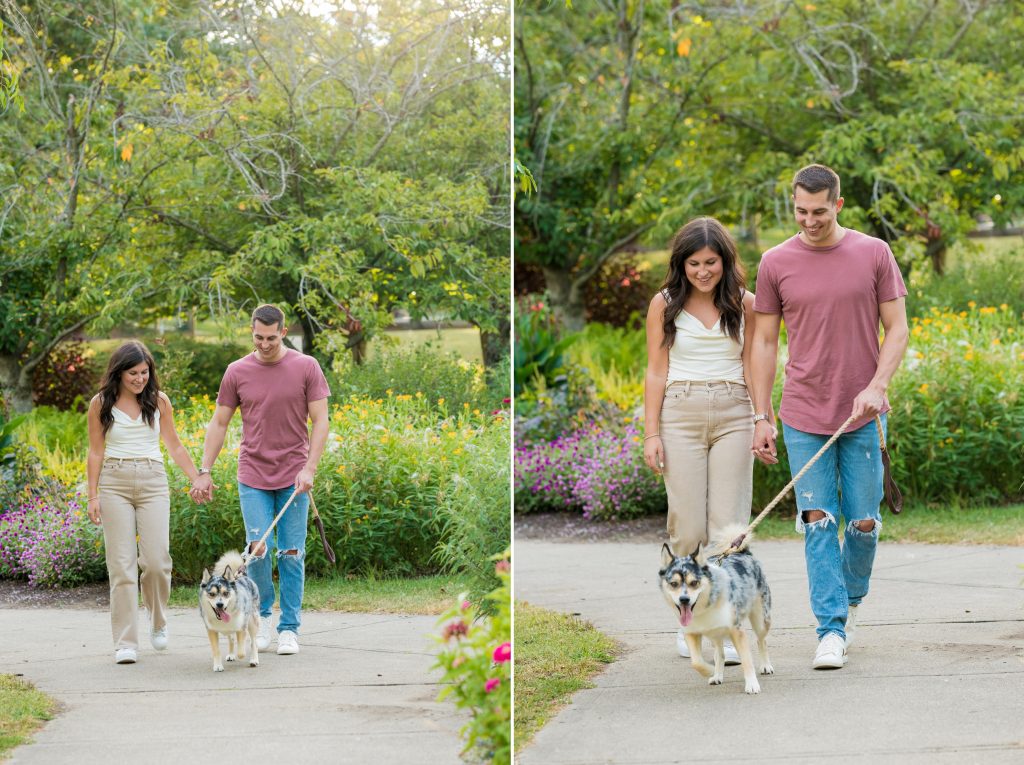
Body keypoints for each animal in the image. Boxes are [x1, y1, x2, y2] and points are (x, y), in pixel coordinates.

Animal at [659, 528, 770, 692]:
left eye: (694, 582)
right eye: (674, 584)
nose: (684, 599)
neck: (707, 606)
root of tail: (743, 553)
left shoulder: (737, 631)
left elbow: (746, 659)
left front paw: (751, 684)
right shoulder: (691, 633)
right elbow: (696, 662)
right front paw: (710, 671)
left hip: (762, 620)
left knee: (761, 640)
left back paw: (766, 666)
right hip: (715, 634)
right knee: (719, 654)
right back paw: (717, 675)